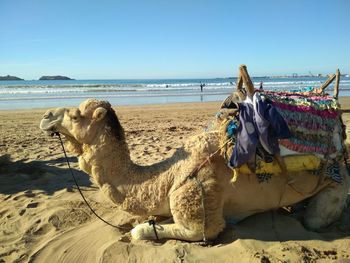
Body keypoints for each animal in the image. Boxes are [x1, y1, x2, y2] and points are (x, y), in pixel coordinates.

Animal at [39, 68, 348, 243]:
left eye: (76, 115)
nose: (45, 116)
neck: (165, 177)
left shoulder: (196, 198)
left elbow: (196, 230)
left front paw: (143, 230)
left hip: (336, 186)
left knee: (314, 220)